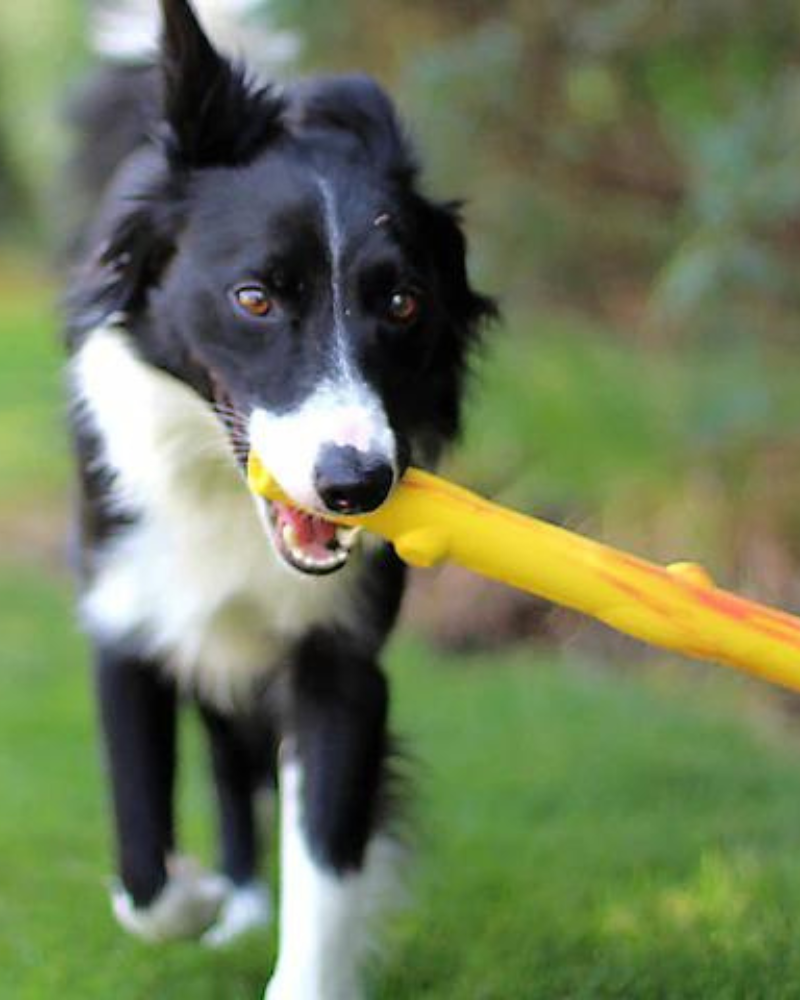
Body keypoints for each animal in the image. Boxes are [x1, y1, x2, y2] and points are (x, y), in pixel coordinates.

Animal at [65, 1, 494, 992]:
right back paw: (233, 903)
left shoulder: (340, 659)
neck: (226, 498)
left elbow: (329, 860)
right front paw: (189, 895)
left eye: (404, 304)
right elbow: (144, 870)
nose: (356, 486)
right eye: (254, 299)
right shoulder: (126, 614)